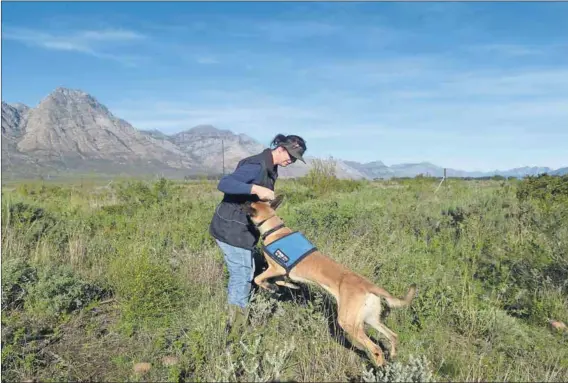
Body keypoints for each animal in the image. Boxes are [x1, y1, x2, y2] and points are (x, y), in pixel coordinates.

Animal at [244, 196, 418, 368]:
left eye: (250, 203)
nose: (242, 202)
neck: (274, 227)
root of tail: (369, 285)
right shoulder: (281, 272)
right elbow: (281, 282)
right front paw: (286, 285)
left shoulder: (275, 268)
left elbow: (258, 278)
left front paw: (270, 286)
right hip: (370, 319)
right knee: (393, 336)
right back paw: (392, 357)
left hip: (347, 322)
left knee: (376, 348)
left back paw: (379, 368)